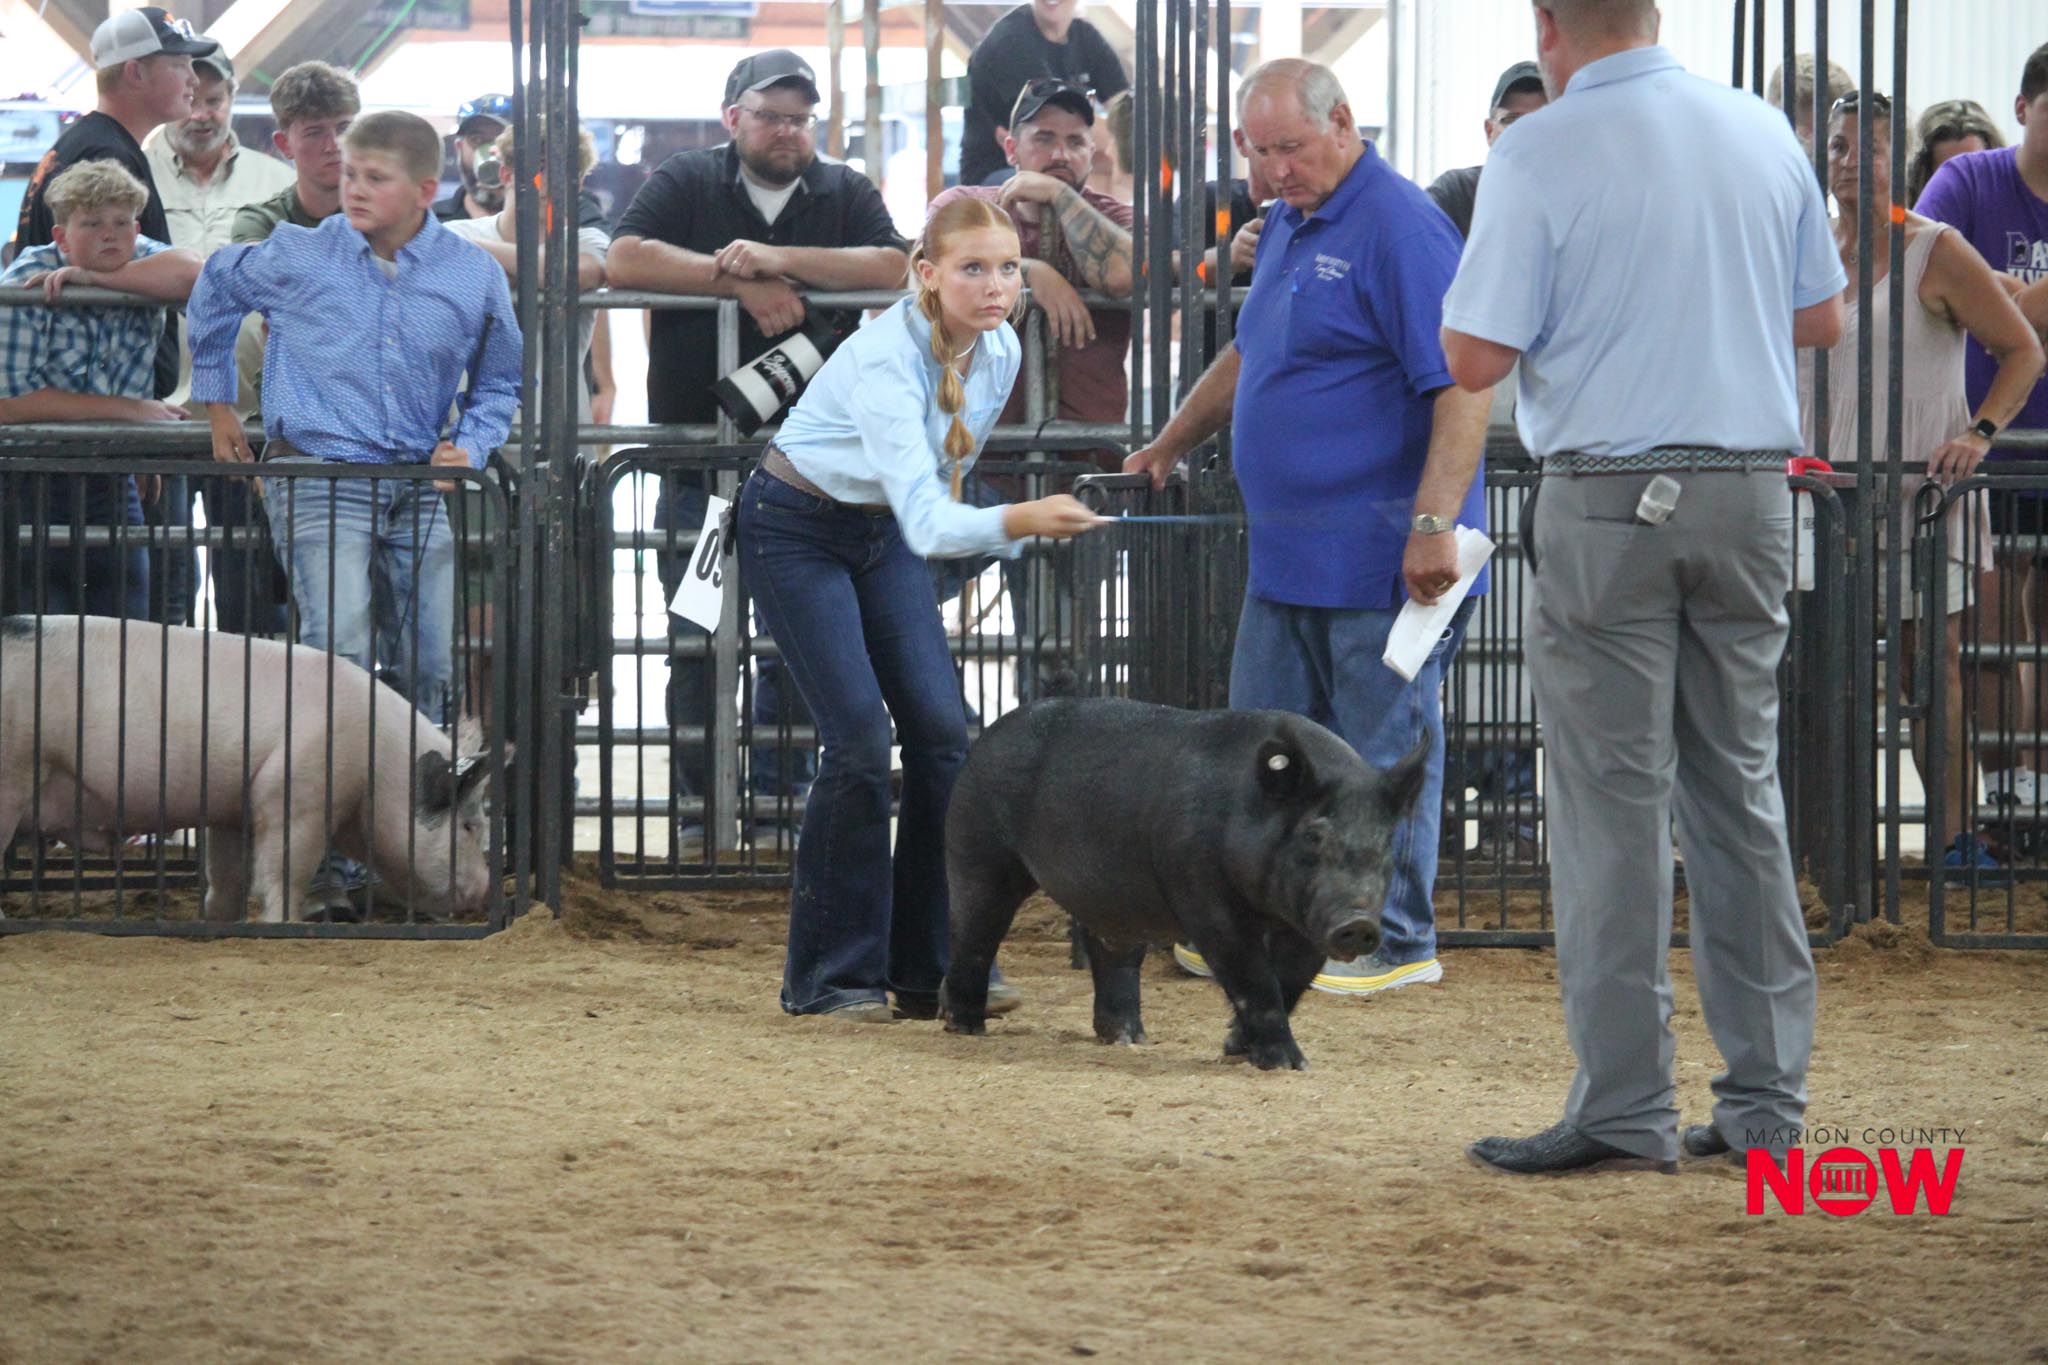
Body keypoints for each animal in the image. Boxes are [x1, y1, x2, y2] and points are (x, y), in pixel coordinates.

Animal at [0, 615, 501, 922]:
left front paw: (216, 922)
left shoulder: (230, 809)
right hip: (13, 773)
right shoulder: (296, 791)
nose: (483, 891)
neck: (379, 763)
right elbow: (284, 869)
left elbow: (226, 877)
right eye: (470, 825)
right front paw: (288, 924)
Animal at [941, 697, 1427, 1070]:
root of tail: (989, 735)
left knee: (1110, 950)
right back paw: (964, 1026)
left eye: (1385, 842)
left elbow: (1290, 980)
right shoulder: (1204, 898)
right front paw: (1288, 1065)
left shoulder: (1307, 922)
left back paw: (1128, 1039)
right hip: (978, 850)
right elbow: (1253, 978)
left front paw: (1237, 1049)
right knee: (974, 934)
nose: (1358, 922)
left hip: (1115, 896)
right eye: (1313, 835)